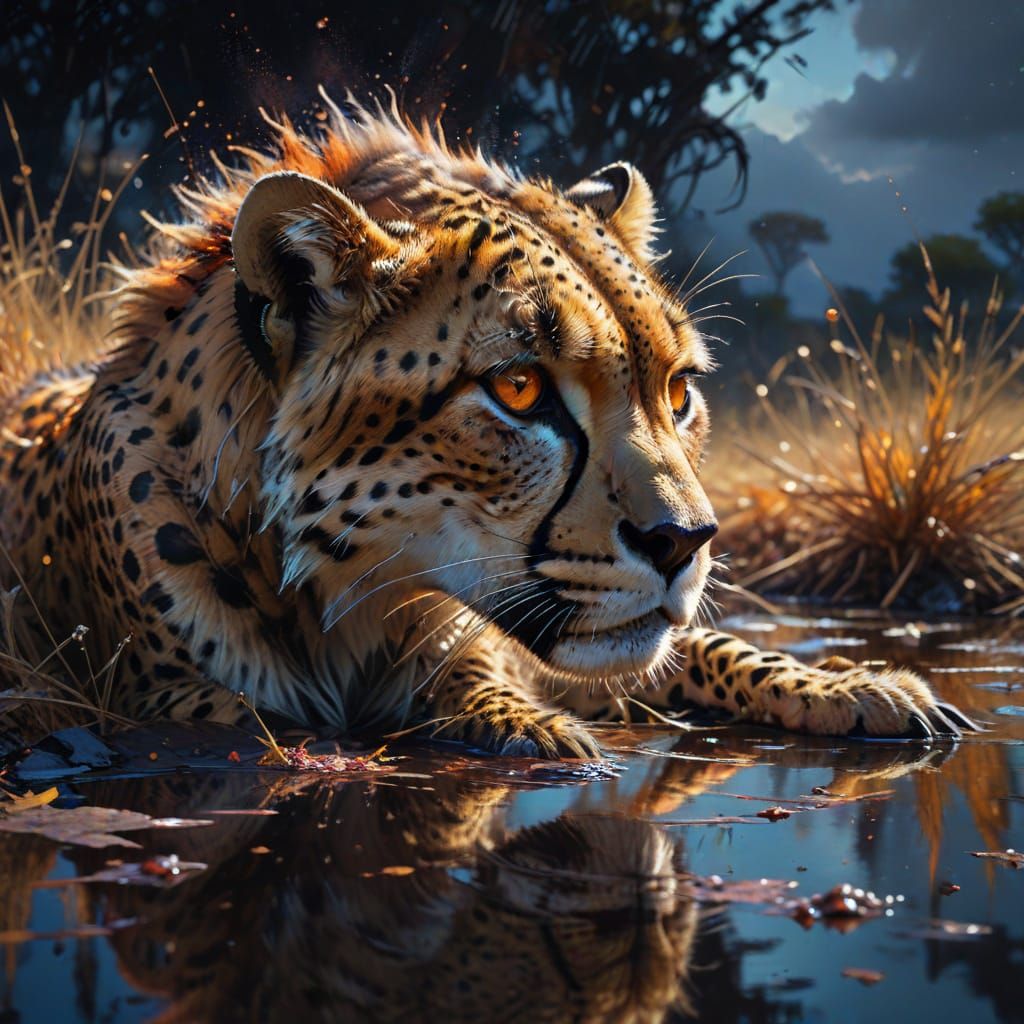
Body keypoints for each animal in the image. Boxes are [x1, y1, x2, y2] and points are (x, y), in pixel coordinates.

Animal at [0, 94, 974, 758]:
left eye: (678, 392)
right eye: (519, 388)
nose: (688, 541)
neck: (354, 601)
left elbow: (693, 643)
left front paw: (861, 685)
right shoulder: (185, 713)